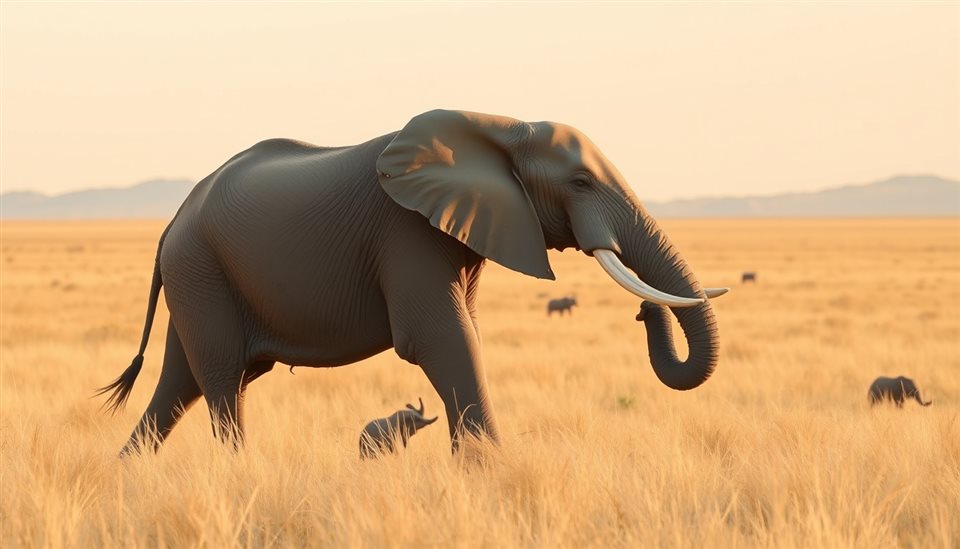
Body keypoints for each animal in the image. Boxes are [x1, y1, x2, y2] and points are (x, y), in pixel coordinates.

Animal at [96, 109, 728, 455]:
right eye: (579, 182)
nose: (645, 311)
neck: (500, 126)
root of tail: (171, 223)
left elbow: (464, 333)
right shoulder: (405, 234)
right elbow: (442, 340)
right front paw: (490, 475)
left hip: (199, 275)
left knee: (180, 384)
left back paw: (124, 480)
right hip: (200, 268)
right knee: (224, 382)